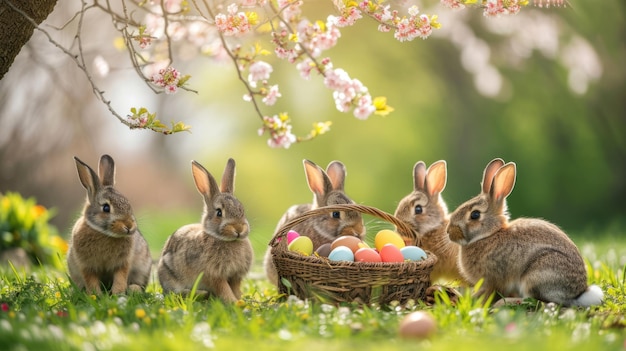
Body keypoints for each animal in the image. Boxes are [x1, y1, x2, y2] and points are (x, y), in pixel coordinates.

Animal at [66, 155, 152, 296]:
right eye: (106, 208)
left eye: (128, 203)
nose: (129, 226)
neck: (103, 233)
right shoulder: (86, 265)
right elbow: (91, 279)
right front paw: (95, 295)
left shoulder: (123, 263)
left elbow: (120, 277)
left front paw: (117, 293)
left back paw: (134, 289)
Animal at [157, 158, 252, 304]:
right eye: (219, 212)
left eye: (242, 210)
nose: (239, 229)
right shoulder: (213, 275)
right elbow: (223, 288)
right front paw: (233, 302)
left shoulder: (235, 276)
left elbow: (235, 288)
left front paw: (240, 300)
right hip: (170, 276)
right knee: (175, 293)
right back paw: (201, 294)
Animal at [446, 160, 604, 308]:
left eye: (475, 215)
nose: (449, 232)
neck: (489, 234)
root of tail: (579, 293)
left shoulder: (491, 280)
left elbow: (488, 293)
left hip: (536, 275)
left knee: (538, 301)